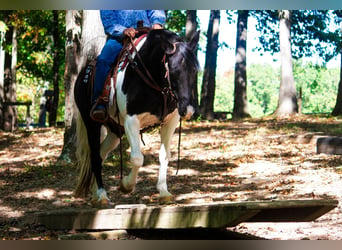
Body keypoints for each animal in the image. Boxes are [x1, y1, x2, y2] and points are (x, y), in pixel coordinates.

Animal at [73, 28, 199, 207]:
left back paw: (95, 193)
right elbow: (137, 158)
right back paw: (102, 195)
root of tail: (83, 73)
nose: (187, 110)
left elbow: (164, 156)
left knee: (101, 154)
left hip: (115, 131)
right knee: (95, 156)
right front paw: (126, 185)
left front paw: (164, 192)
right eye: (174, 70)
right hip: (91, 123)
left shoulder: (170, 122)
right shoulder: (131, 121)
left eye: (195, 70)